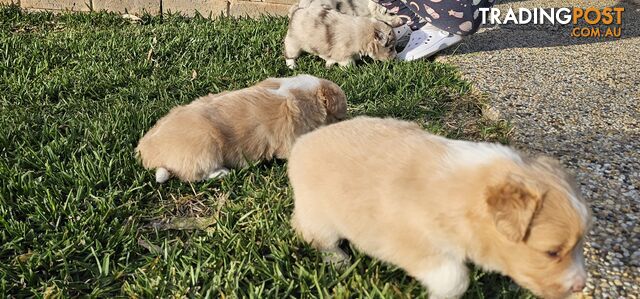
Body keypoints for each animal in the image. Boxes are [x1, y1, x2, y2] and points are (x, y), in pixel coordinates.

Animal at [288, 117, 592, 299]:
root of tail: (301, 142)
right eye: (552, 252)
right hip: (318, 214)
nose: (581, 286)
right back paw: (338, 259)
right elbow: (454, 278)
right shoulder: (412, 242)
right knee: (312, 235)